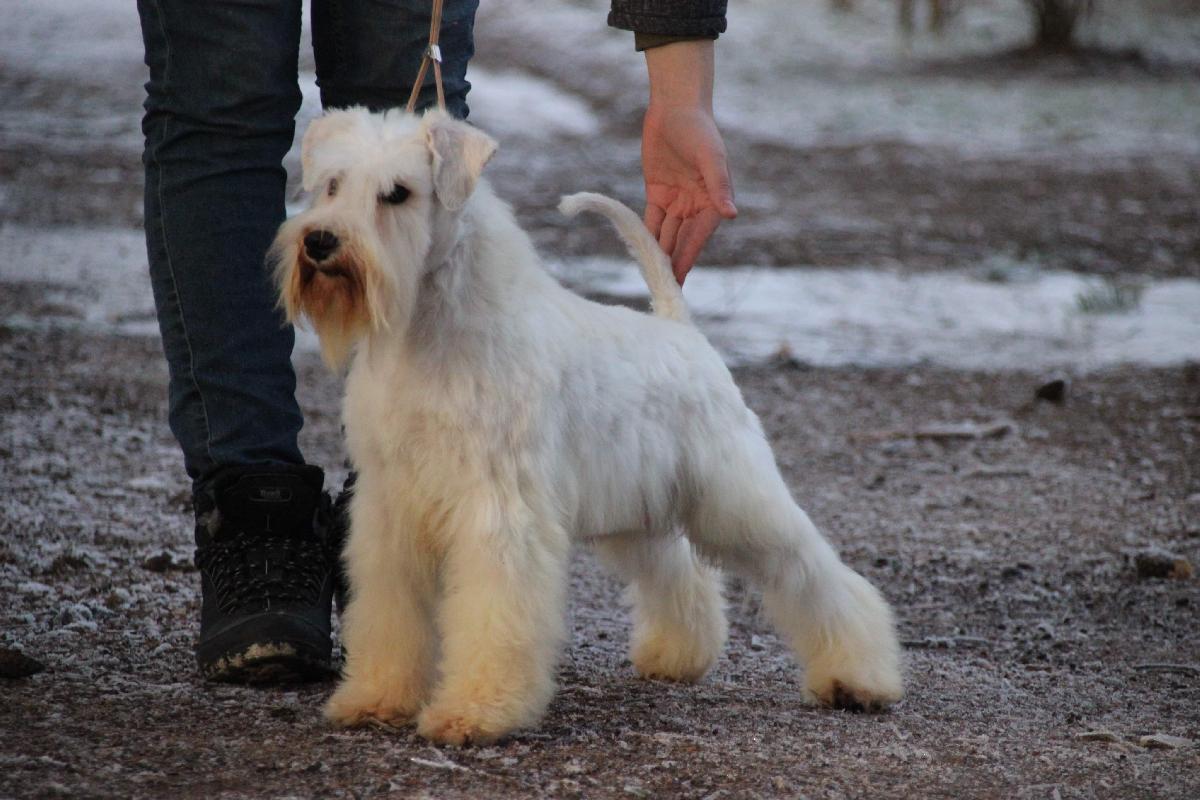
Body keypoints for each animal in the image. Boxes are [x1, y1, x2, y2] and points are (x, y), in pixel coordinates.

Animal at [272, 107, 903, 745]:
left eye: (397, 193)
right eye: (332, 184)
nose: (320, 242)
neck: (429, 331)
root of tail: (682, 331)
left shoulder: (500, 511)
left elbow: (494, 615)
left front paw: (476, 710)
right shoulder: (391, 507)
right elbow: (389, 614)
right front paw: (377, 697)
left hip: (738, 502)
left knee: (812, 574)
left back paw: (858, 677)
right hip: (639, 517)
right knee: (681, 577)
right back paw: (677, 655)